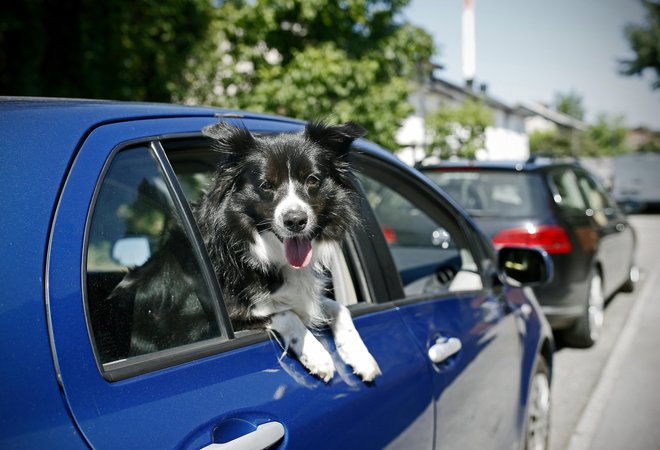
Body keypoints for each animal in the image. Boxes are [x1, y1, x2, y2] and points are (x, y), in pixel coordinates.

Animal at [117, 120, 382, 384]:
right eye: (266, 185)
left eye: (312, 180)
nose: (295, 221)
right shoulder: (217, 321)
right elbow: (285, 313)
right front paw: (317, 354)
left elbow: (339, 308)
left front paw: (361, 356)